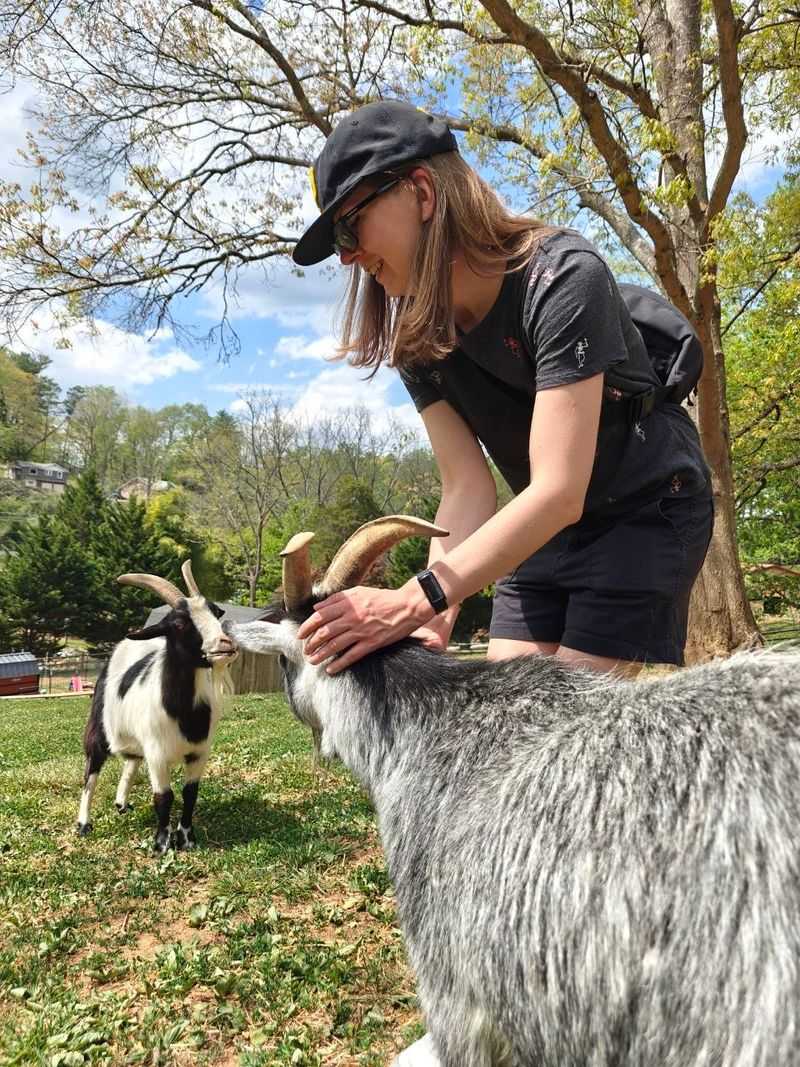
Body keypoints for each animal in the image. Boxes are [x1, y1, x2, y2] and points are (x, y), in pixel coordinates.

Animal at [77, 561, 238, 852]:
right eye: (179, 623)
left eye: (215, 613)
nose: (225, 645)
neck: (184, 714)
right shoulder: (157, 753)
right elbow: (164, 796)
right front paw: (162, 842)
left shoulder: (199, 752)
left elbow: (189, 794)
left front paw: (186, 838)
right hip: (98, 730)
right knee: (90, 775)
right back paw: (84, 824)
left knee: (131, 762)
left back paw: (121, 803)